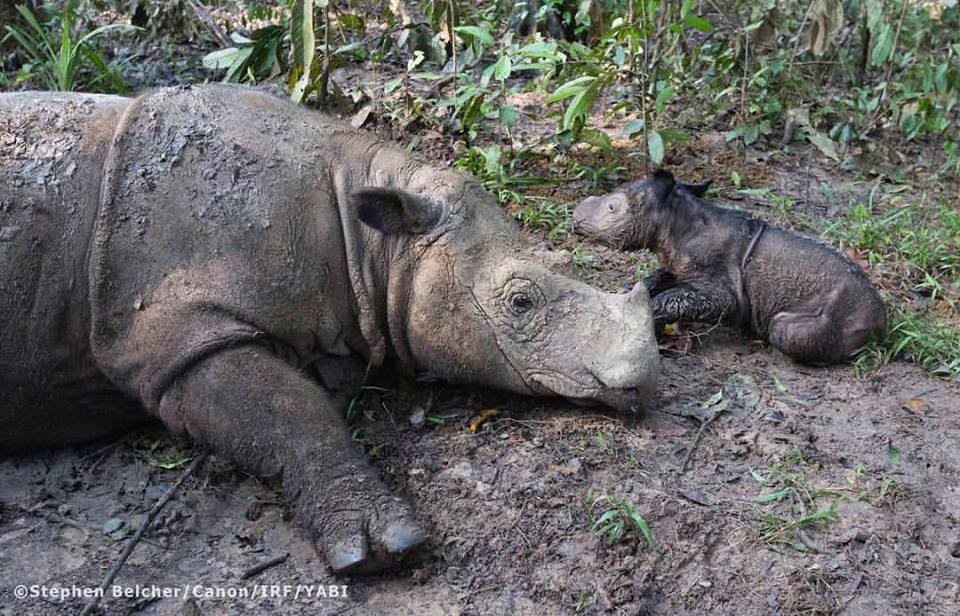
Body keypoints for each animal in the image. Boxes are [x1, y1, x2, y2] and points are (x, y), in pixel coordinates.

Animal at [0, 85, 659, 573]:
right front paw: (382, 547)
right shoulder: (174, 339)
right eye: (520, 303)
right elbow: (289, 410)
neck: (370, 239)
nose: (646, 374)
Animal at [573, 170, 887, 365]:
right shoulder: (677, 266)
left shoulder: (725, 294)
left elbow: (671, 298)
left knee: (783, 330)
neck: (674, 219)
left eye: (612, 208)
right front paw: (627, 295)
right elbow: (658, 279)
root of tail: (882, 318)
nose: (575, 219)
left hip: (836, 314)